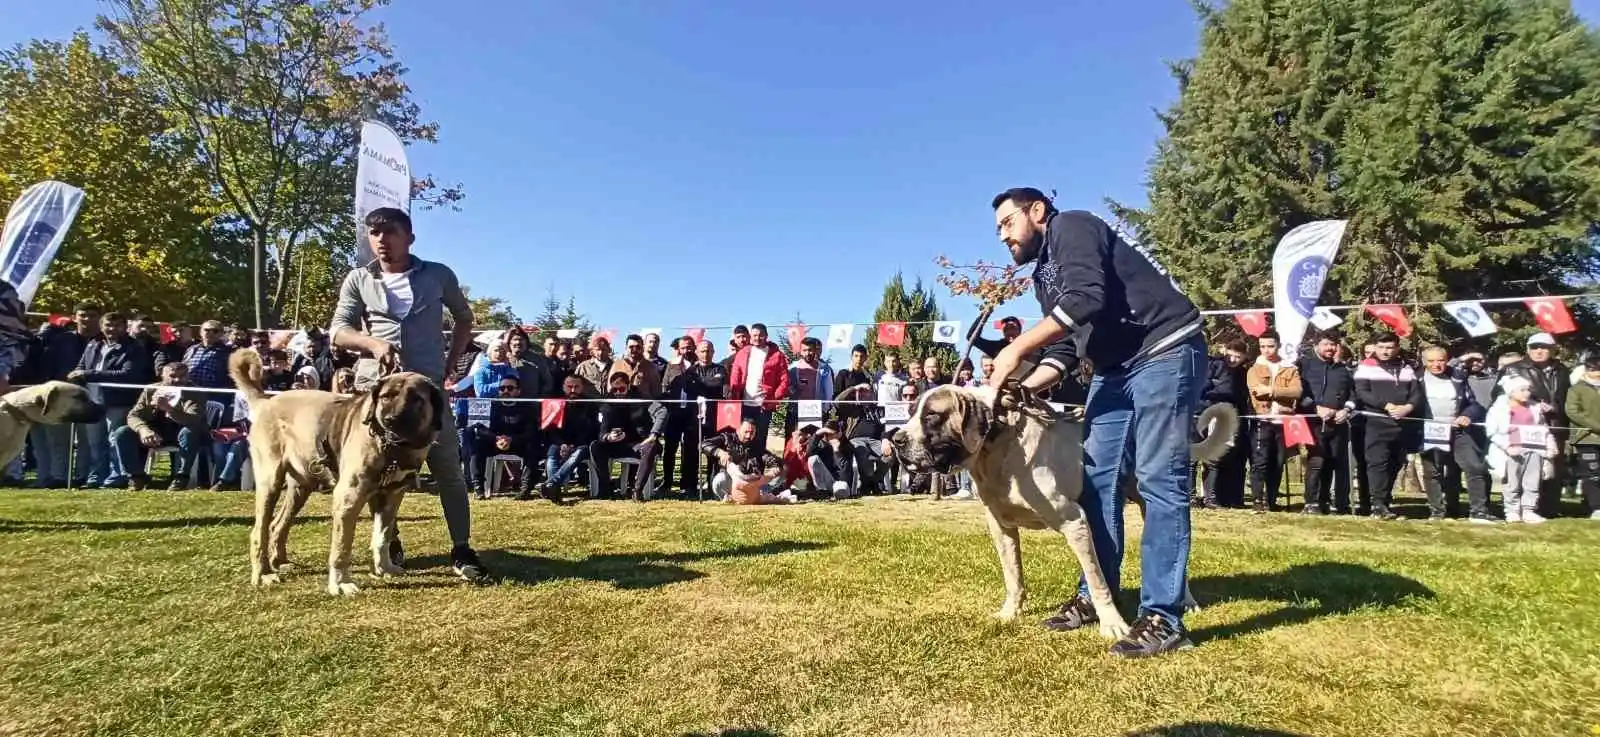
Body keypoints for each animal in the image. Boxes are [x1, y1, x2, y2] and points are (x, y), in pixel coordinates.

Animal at [228, 346, 448, 594]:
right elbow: (342, 545)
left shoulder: (391, 495)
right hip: (270, 482)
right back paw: (264, 573)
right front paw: (341, 583)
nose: (391, 420)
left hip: (300, 487)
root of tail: (266, 401)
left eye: (416, 399)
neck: (391, 448)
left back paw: (280, 562)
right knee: (259, 530)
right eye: (386, 397)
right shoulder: (349, 496)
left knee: (278, 524)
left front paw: (384, 568)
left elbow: (382, 536)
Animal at [889, 382, 1235, 636]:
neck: (1000, 443)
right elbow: (1013, 576)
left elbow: (1097, 581)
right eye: (911, 411)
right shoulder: (1001, 527)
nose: (895, 438)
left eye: (932, 416)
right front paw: (1010, 612)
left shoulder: (1075, 521)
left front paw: (1112, 624)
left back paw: (1185, 601)